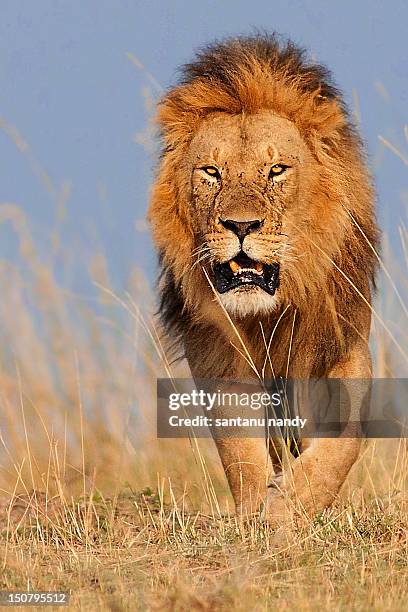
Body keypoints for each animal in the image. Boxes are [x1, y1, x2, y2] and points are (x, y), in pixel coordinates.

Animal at [149, 33, 380, 524]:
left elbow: (344, 440)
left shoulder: (341, 343)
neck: (267, 314)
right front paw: (259, 512)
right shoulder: (217, 356)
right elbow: (239, 450)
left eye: (276, 170)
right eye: (211, 171)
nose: (241, 225)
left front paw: (289, 510)